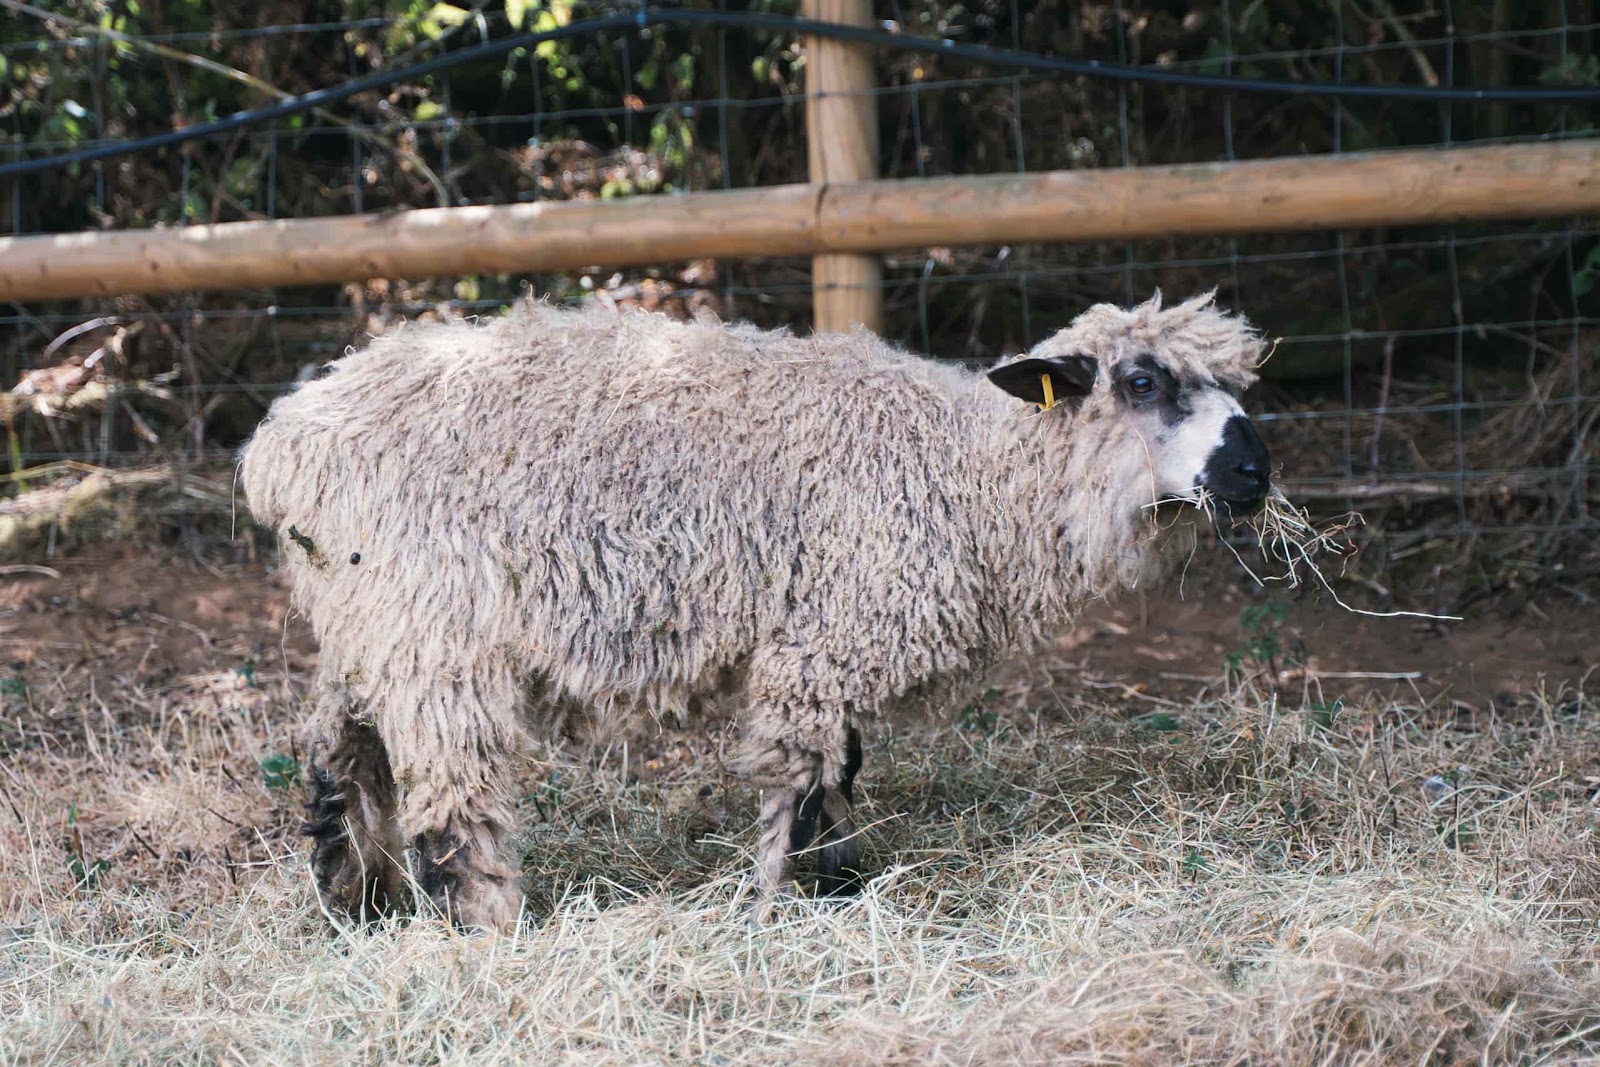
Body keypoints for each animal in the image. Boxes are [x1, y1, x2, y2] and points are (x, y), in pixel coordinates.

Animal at [239, 289, 1271, 931]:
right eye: (1142, 381)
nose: (1255, 472)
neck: (967, 468)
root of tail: (281, 444)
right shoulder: (824, 635)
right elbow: (808, 784)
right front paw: (788, 902)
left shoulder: (828, 633)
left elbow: (843, 767)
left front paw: (840, 889)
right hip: (433, 623)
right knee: (450, 798)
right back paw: (486, 930)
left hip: (369, 617)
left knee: (338, 751)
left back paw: (353, 906)